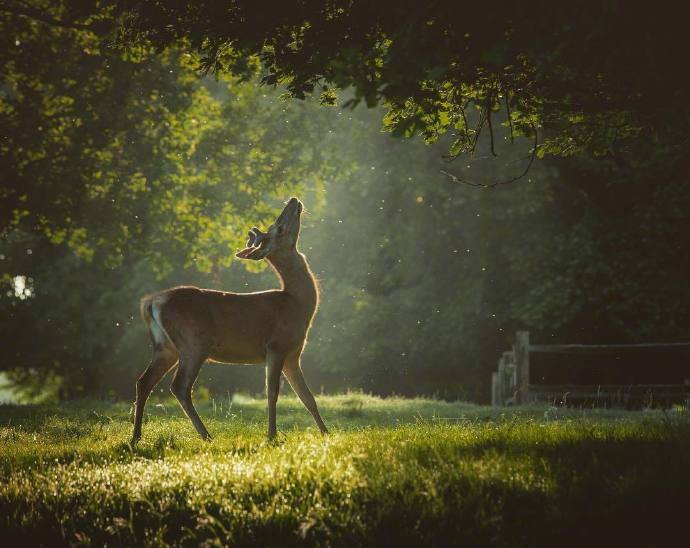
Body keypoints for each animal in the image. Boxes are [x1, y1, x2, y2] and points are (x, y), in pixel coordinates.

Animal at [131, 197, 328, 445]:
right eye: (279, 228)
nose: (293, 200)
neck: (297, 305)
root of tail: (152, 302)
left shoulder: (293, 355)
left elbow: (307, 397)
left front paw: (326, 433)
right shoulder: (275, 346)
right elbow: (272, 393)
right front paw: (272, 436)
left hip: (166, 347)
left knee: (144, 381)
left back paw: (136, 437)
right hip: (194, 343)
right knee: (179, 386)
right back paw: (206, 435)